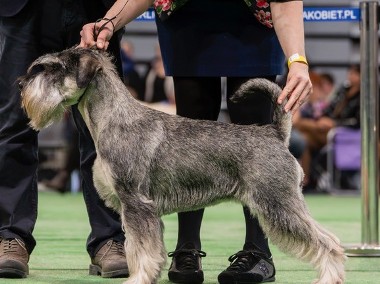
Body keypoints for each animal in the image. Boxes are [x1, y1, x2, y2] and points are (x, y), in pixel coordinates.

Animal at [19, 47, 346, 282]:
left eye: (54, 68)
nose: (21, 83)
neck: (113, 119)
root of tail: (274, 133)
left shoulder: (137, 204)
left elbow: (141, 250)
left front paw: (138, 279)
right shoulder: (134, 209)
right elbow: (137, 248)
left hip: (279, 204)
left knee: (328, 242)